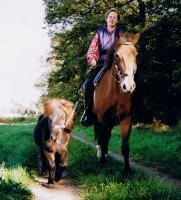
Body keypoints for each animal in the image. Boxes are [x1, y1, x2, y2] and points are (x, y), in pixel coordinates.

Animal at [92, 32, 141, 175]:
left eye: (136, 55)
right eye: (117, 56)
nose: (128, 86)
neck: (114, 92)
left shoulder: (126, 119)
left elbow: (125, 146)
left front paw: (126, 171)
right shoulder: (102, 118)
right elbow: (103, 139)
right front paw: (101, 164)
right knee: (101, 138)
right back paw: (100, 156)